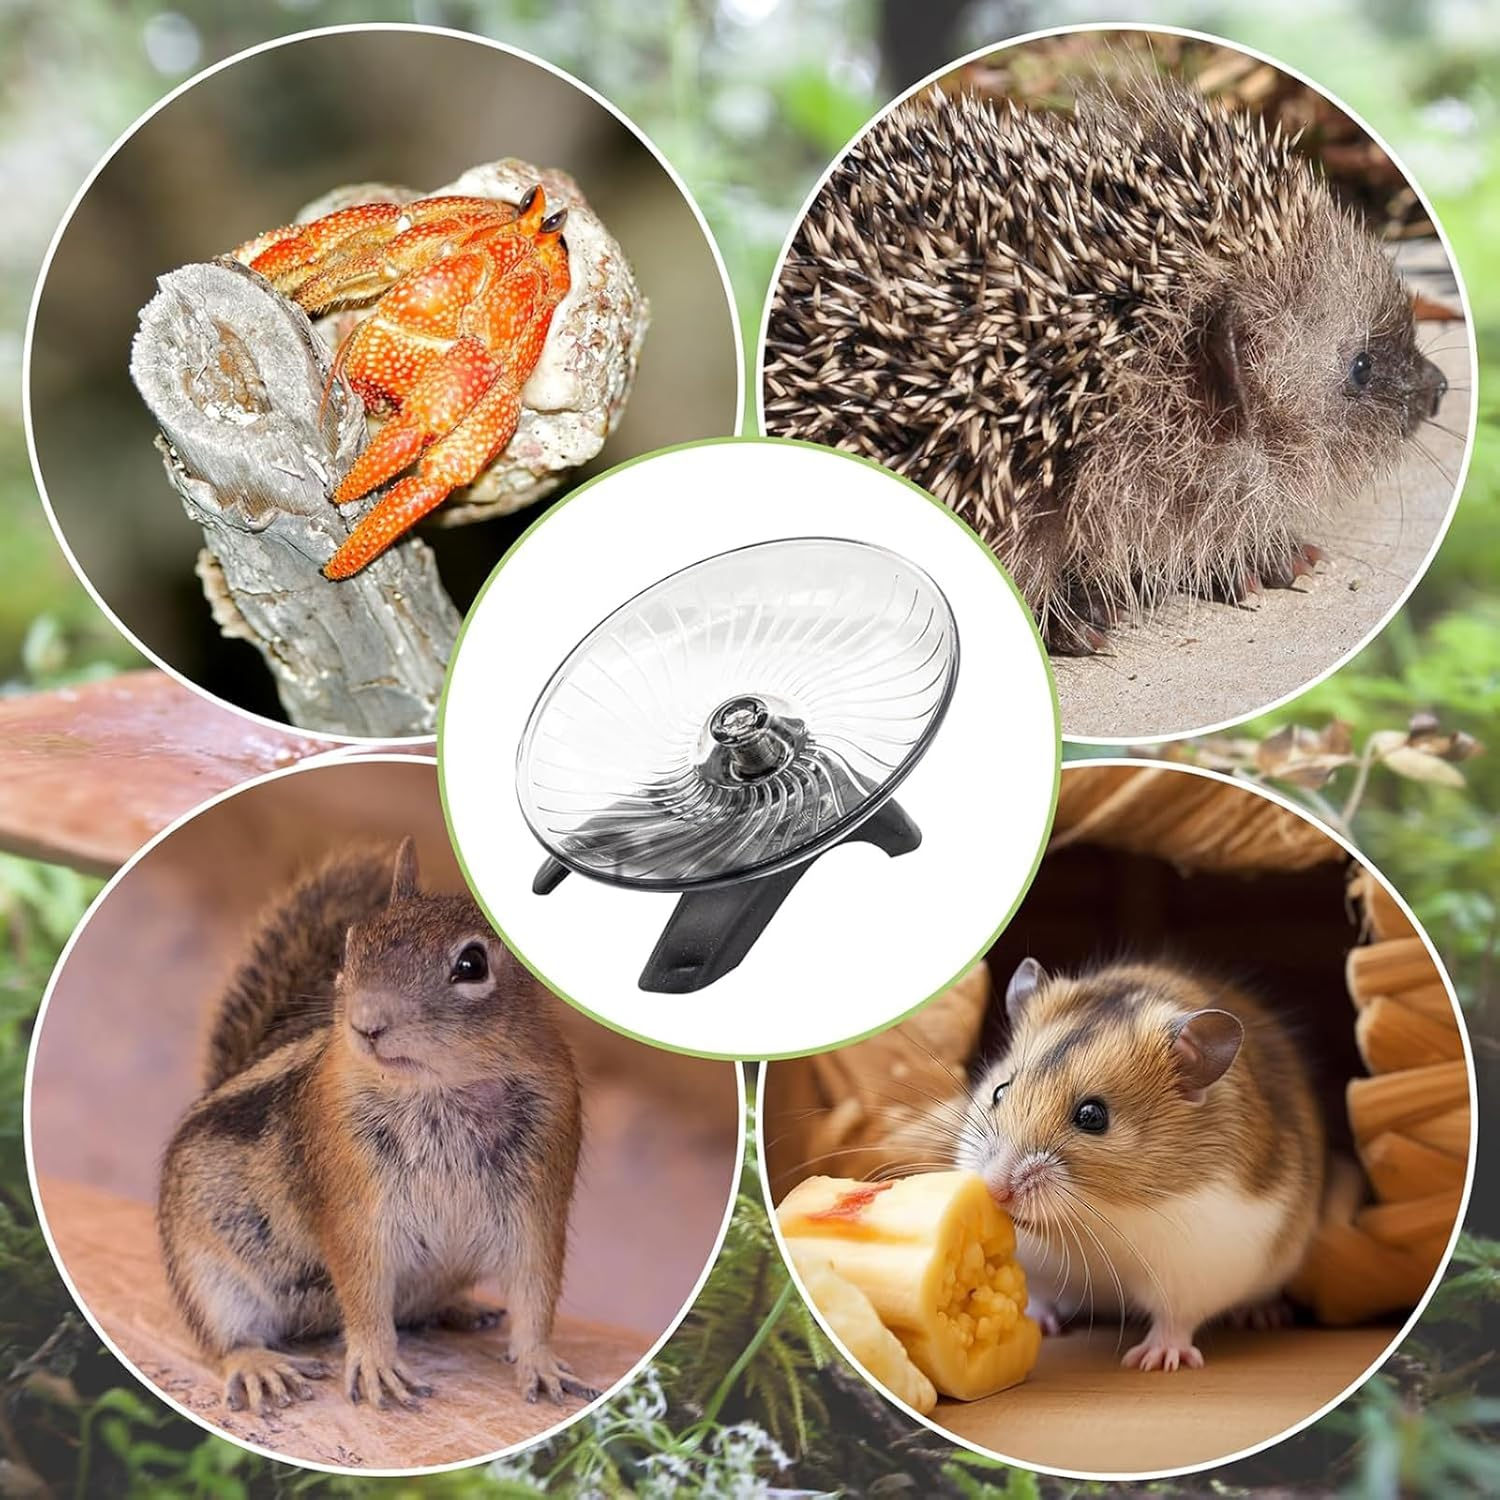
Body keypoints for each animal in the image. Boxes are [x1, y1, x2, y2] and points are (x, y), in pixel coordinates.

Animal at [955, 957, 1325, 1371]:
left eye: (1092, 1116)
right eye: (1000, 1091)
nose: (994, 1189)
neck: (1098, 1218)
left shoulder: (1198, 1266)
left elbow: (1175, 1318)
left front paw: (1154, 1361)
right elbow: (1039, 1294)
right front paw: (1037, 1322)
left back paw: (1262, 1316)